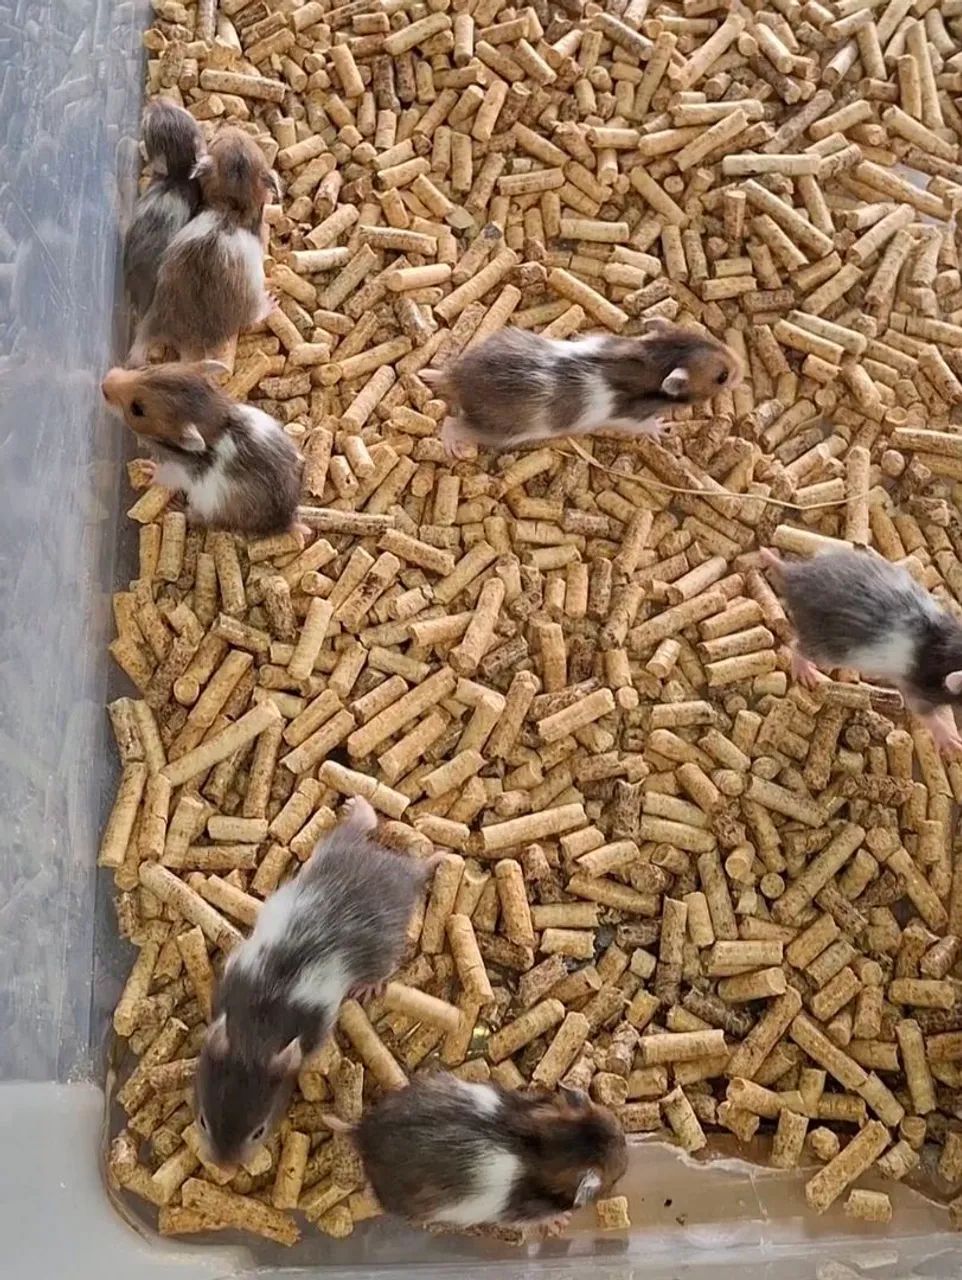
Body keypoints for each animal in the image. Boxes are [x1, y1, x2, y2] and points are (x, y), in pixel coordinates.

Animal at [101, 361, 302, 536]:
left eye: (137, 410)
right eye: (146, 368)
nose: (103, 382)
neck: (214, 419)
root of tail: (287, 520)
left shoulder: (175, 471)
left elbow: (160, 474)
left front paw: (145, 468)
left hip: (209, 507)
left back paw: (175, 507)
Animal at [128, 127, 278, 365]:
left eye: (249, 143)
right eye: (219, 138)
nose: (231, 128)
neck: (231, 205)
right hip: (252, 299)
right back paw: (272, 302)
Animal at [194, 797, 437, 1168]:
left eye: (259, 1132)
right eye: (203, 1121)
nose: (223, 1169)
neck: (257, 1031)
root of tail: (402, 871)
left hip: (386, 943)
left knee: (385, 966)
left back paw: (368, 986)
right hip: (331, 849)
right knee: (359, 829)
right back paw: (359, 808)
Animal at [423, 317, 743, 457]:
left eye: (710, 337)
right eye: (722, 376)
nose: (742, 371)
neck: (656, 359)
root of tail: (456, 377)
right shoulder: (627, 418)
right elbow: (644, 426)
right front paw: (662, 428)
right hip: (498, 432)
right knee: (452, 423)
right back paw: (452, 447)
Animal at [763, 547, 962, 754]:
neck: (949, 643)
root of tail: (794, 575)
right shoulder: (920, 687)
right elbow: (923, 712)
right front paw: (948, 738)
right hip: (826, 649)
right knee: (797, 646)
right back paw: (803, 669)